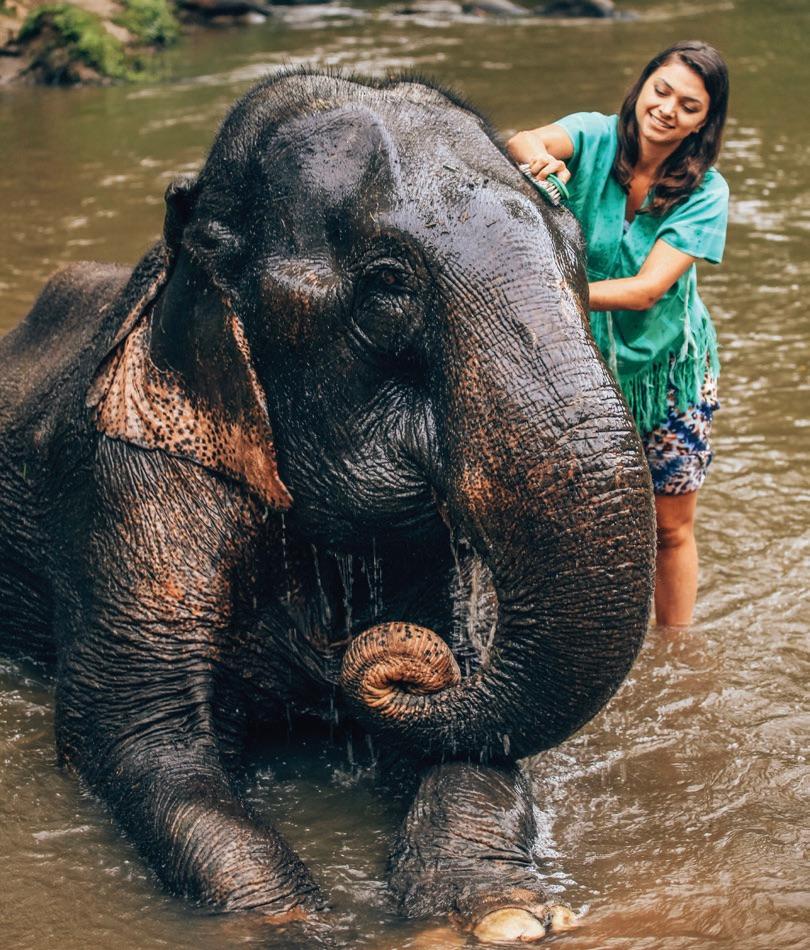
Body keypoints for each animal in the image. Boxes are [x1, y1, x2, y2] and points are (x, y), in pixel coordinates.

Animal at [0, 68, 655, 942]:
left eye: (579, 254)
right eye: (388, 286)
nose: (393, 667)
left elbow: (481, 734)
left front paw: (499, 914)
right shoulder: (124, 481)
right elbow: (139, 733)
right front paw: (298, 925)